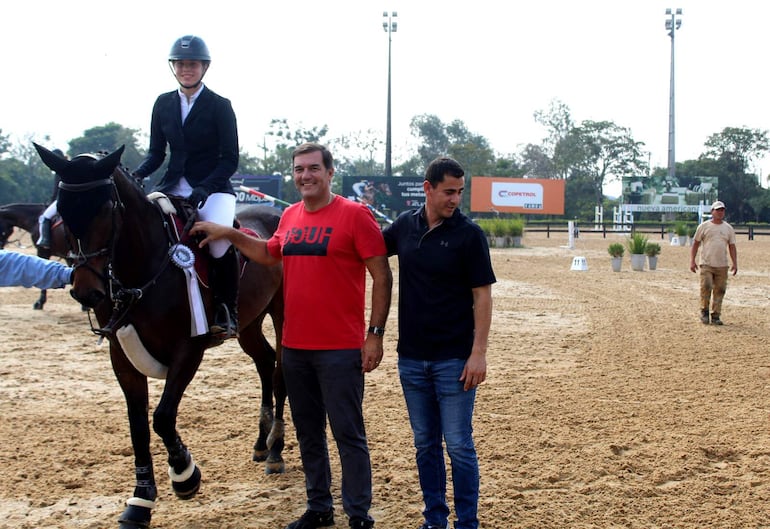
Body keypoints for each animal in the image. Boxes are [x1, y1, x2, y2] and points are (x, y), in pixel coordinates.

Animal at [34, 142, 286, 524]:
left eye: (106, 209)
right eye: (62, 209)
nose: (87, 293)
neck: (145, 265)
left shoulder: (188, 349)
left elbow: (163, 418)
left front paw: (185, 475)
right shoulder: (121, 357)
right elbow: (138, 425)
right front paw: (140, 502)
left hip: (283, 314)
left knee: (282, 370)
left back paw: (275, 451)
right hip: (249, 323)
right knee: (265, 361)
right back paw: (261, 443)